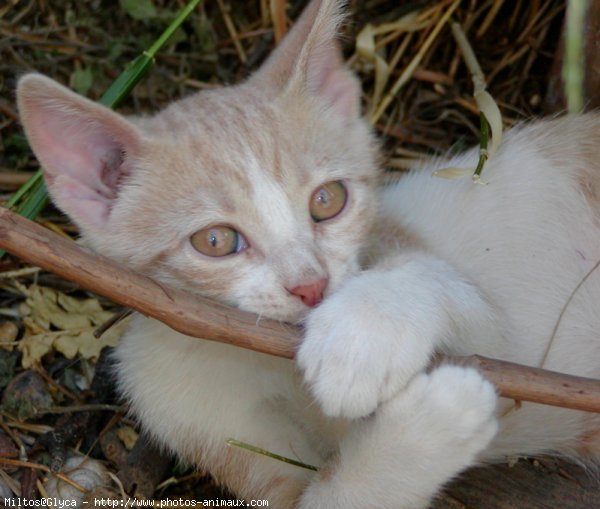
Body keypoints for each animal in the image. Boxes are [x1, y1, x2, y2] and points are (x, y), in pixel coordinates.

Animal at [12, 0, 600, 504]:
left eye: (327, 201)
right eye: (215, 241)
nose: (311, 285)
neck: (262, 361)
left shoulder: (504, 343)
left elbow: (454, 303)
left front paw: (364, 336)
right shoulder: (188, 410)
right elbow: (338, 495)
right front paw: (438, 415)